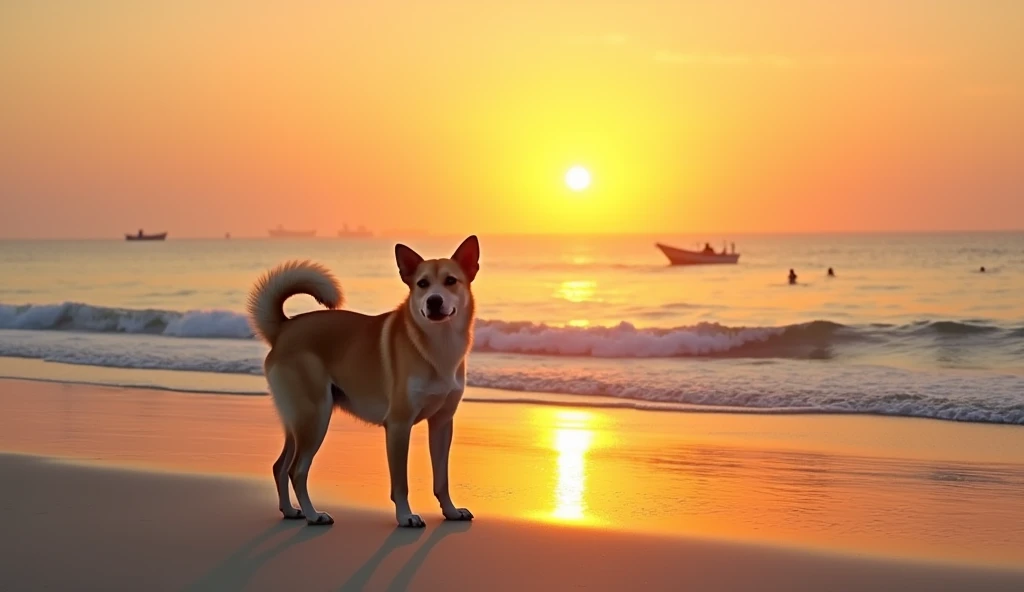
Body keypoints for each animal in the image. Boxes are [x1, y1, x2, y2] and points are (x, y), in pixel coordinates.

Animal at [245, 235, 481, 524]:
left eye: (450, 280)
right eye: (422, 284)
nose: (433, 301)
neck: (436, 346)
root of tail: (284, 328)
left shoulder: (442, 424)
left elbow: (442, 478)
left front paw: (450, 511)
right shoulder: (399, 425)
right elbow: (400, 483)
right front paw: (405, 516)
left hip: (298, 420)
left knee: (280, 466)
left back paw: (290, 511)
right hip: (315, 417)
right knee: (296, 471)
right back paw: (314, 515)